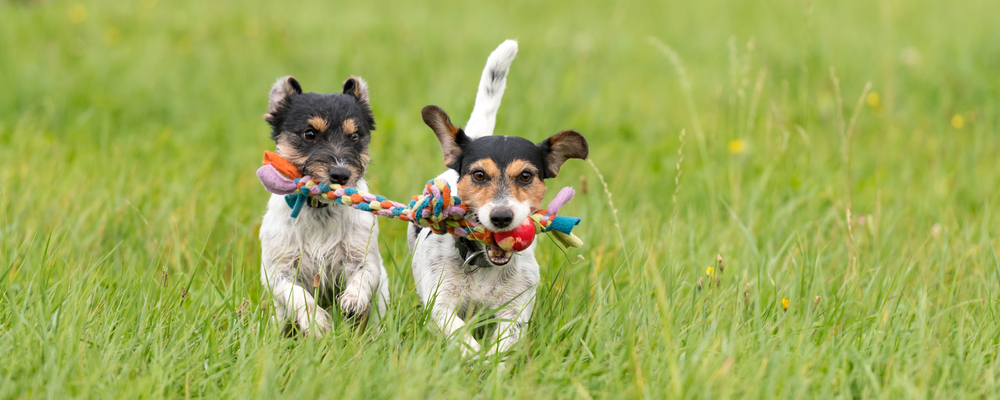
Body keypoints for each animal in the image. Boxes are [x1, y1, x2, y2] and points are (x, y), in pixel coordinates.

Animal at [260, 75, 388, 338]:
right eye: (309, 134)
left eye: (355, 136)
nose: (340, 174)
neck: (320, 209)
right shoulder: (278, 270)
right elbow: (299, 296)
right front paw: (318, 322)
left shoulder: (363, 258)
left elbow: (364, 277)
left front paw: (353, 300)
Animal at [410, 39, 588, 360]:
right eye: (479, 175)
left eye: (526, 176)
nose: (502, 217)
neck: (484, 265)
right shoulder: (440, 304)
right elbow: (460, 334)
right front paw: (475, 359)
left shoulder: (515, 308)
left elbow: (504, 342)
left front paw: (492, 363)